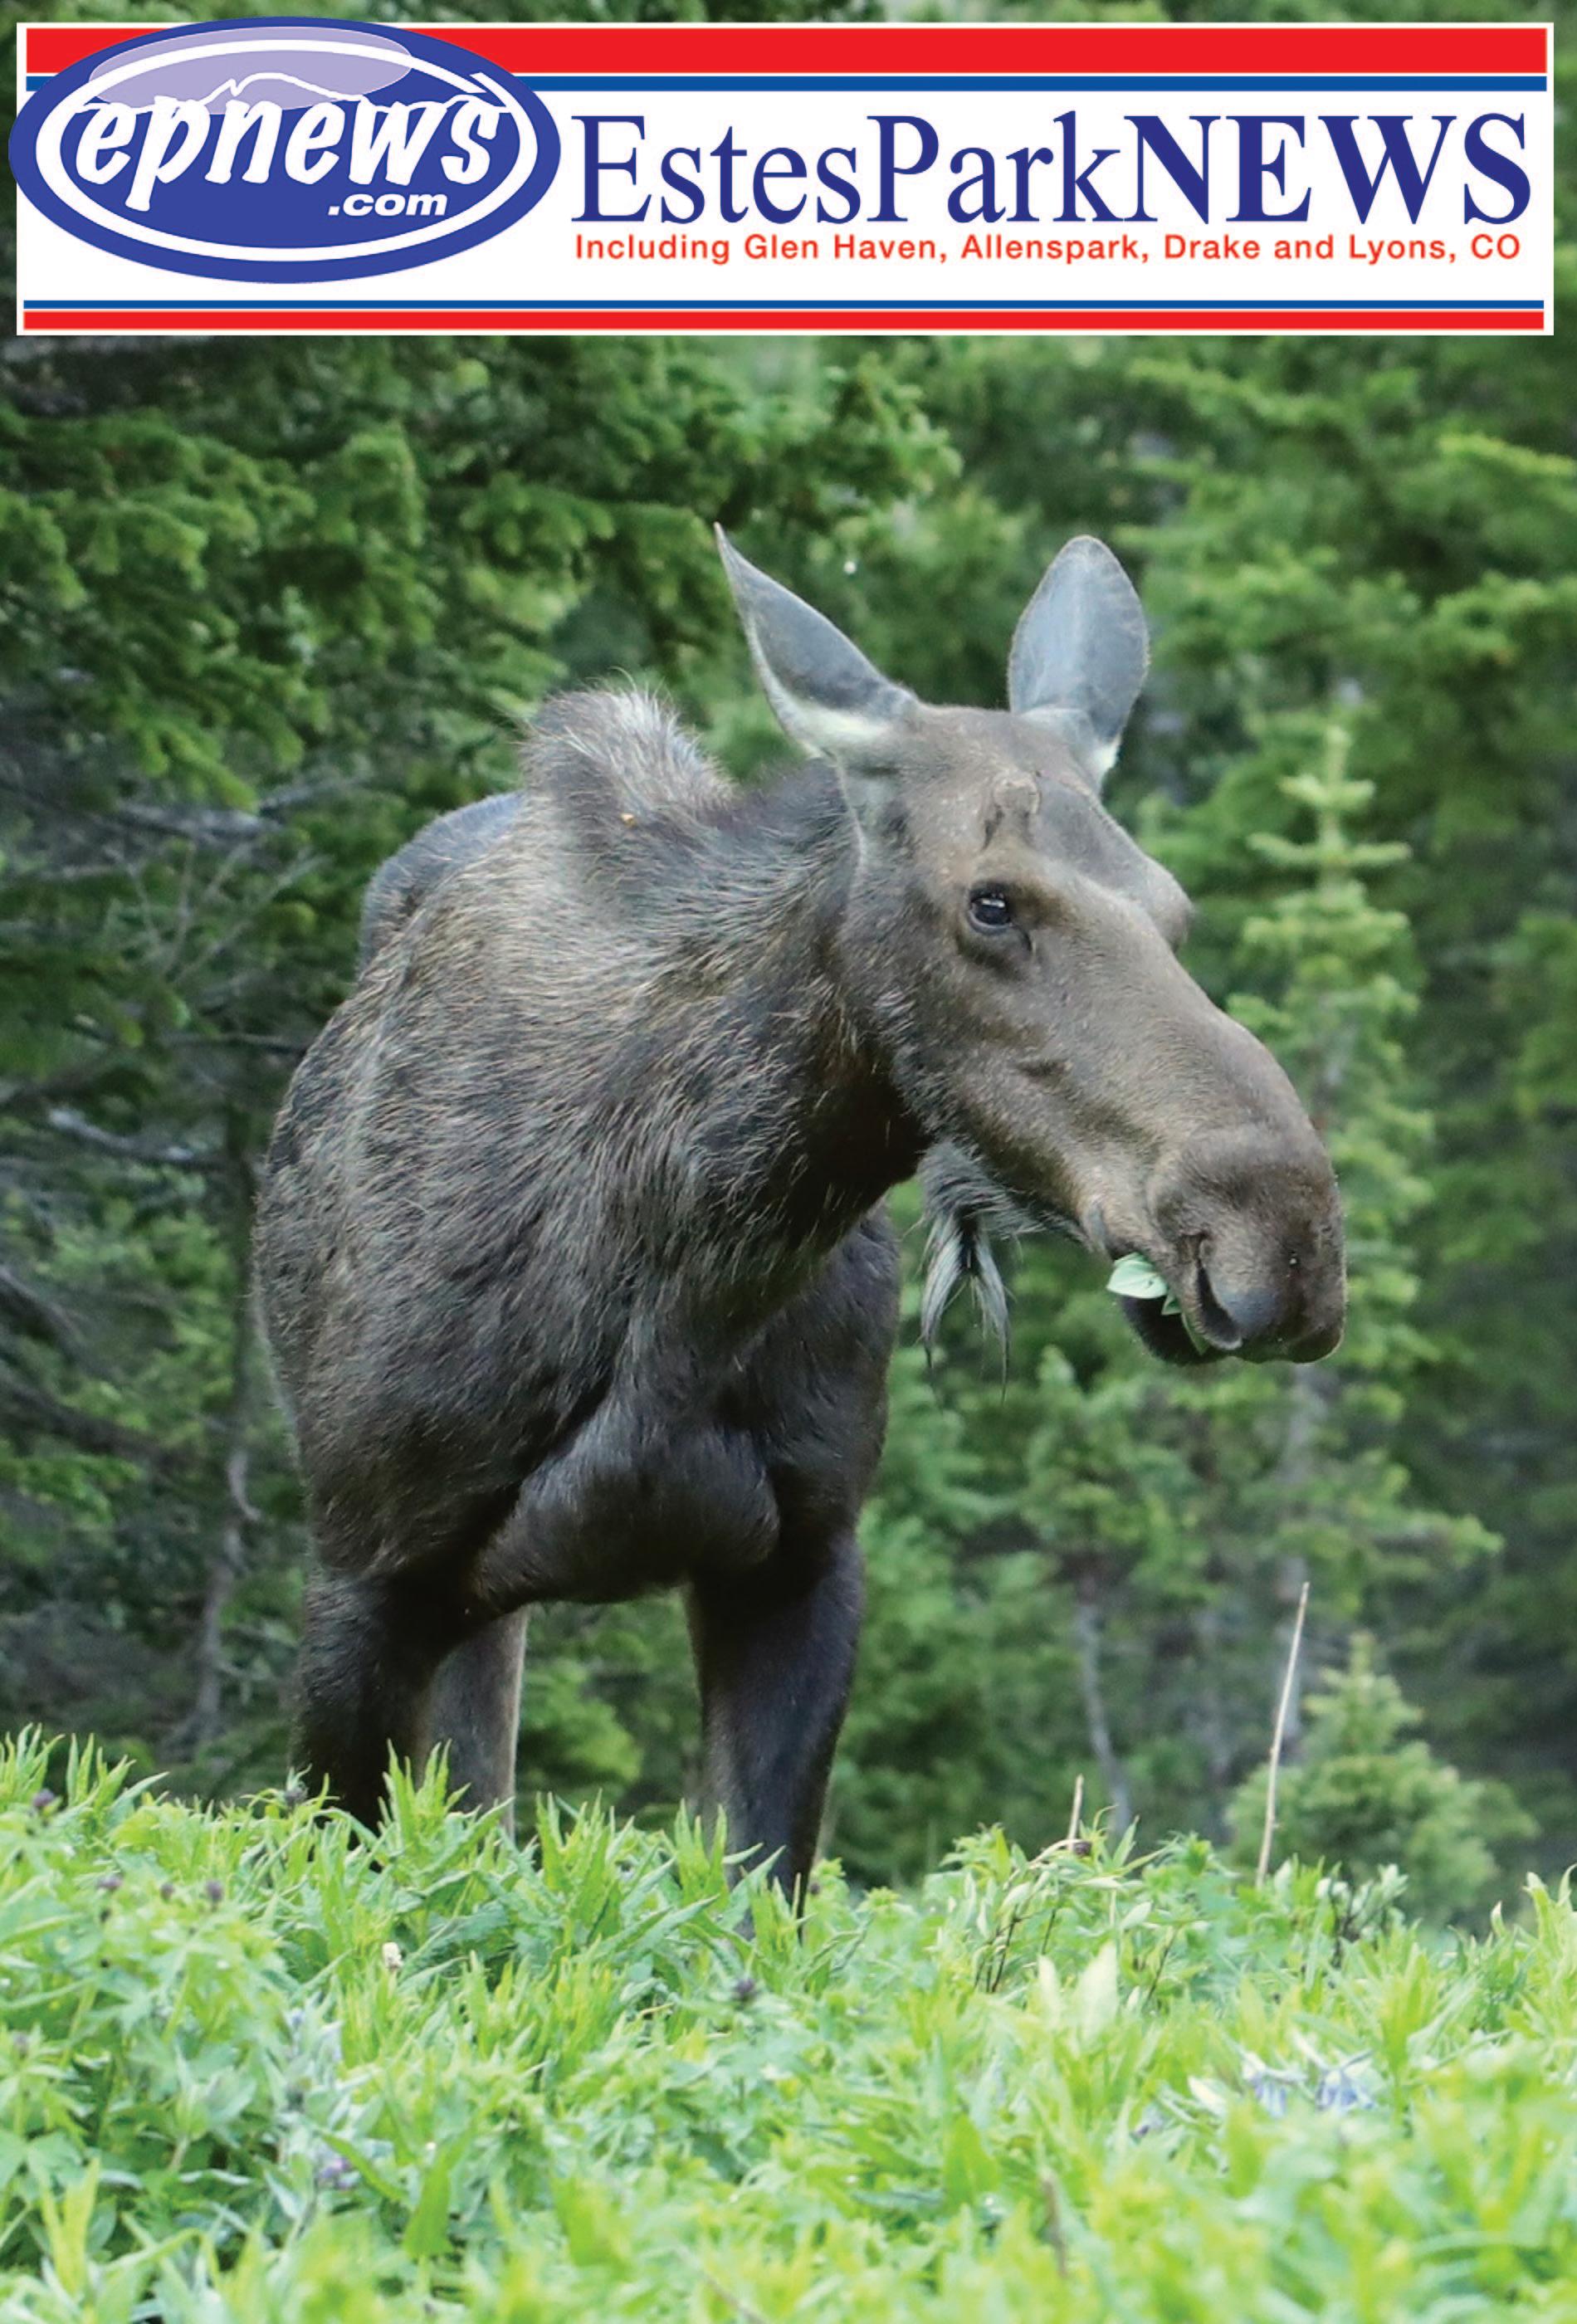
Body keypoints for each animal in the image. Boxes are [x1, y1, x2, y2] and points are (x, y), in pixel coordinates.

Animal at [255, 527, 1346, 1887]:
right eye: (992, 899)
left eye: (1174, 908)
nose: (1283, 1239)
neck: (687, 1273)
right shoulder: (364, 1567)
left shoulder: (806, 1558)